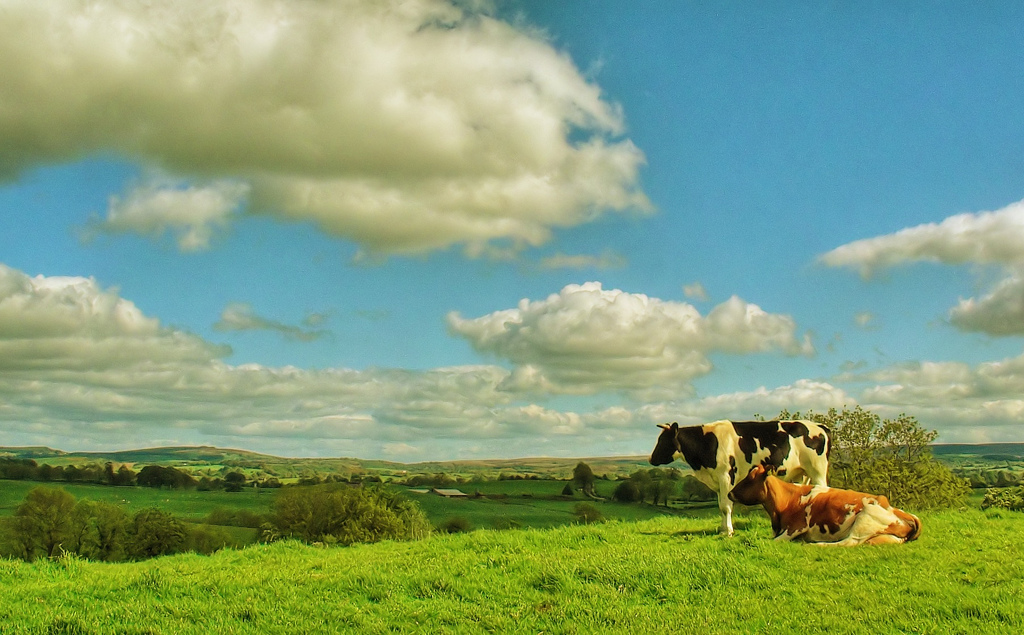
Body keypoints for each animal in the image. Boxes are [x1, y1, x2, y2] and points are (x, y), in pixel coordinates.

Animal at [649, 420, 830, 536]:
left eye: (663, 440)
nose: (650, 459)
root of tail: (819, 426)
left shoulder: (726, 476)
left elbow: (726, 506)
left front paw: (728, 532)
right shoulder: (717, 481)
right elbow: (720, 506)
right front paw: (723, 529)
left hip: (818, 470)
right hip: (801, 474)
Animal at [728, 464, 922, 546]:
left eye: (749, 479)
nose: (729, 493)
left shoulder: (796, 527)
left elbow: (770, 541)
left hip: (865, 517)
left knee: (848, 542)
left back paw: (817, 544)